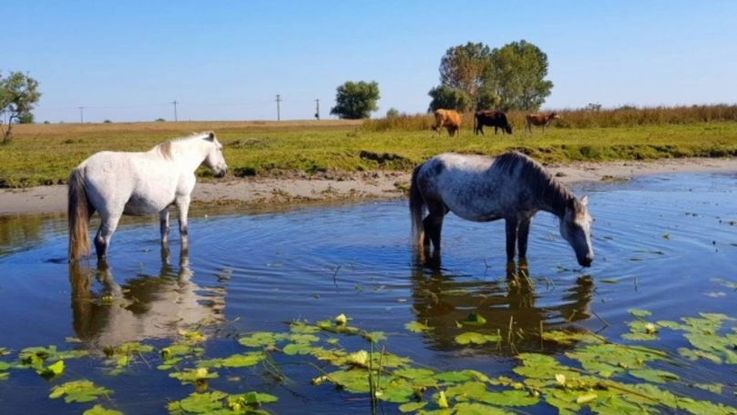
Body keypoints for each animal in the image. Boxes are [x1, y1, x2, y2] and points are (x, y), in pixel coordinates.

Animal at [71, 132, 230, 262]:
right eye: (220, 148)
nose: (224, 171)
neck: (179, 160)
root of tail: (84, 167)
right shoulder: (183, 200)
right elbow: (183, 229)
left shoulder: (164, 207)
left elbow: (164, 230)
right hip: (111, 216)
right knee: (102, 241)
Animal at [408, 152, 592, 266]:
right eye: (573, 225)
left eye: (590, 224)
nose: (588, 259)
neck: (528, 182)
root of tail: (424, 165)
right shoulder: (511, 219)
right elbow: (510, 250)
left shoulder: (526, 219)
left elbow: (523, 249)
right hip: (438, 210)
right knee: (434, 231)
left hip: (440, 209)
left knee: (426, 224)